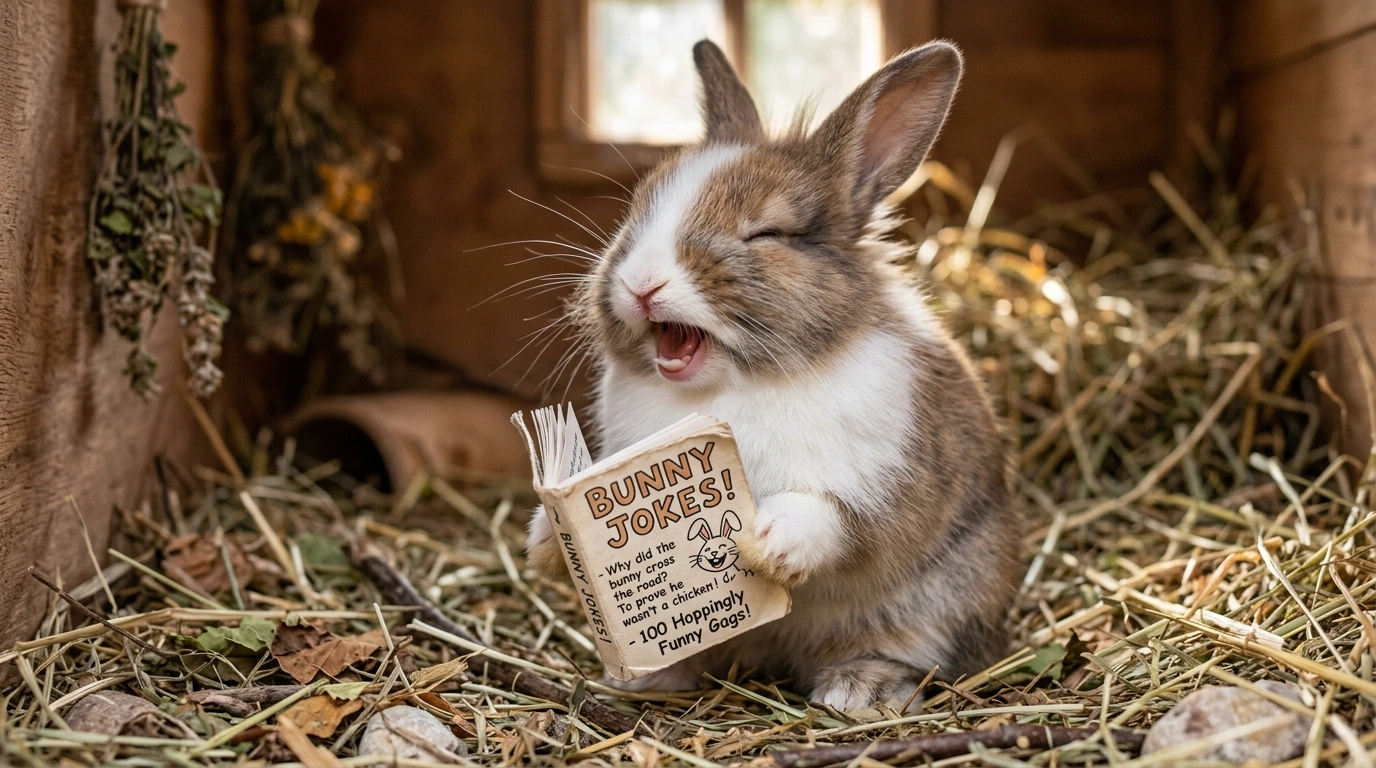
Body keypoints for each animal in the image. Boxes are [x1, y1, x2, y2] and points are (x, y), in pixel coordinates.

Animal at [525, 39, 1020, 712]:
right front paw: (545, 541)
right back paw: (651, 677)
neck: (730, 388)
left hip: (940, 602)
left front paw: (766, 541)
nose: (642, 283)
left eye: (766, 233)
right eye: (636, 213)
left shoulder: (880, 484)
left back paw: (856, 691)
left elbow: (834, 520)